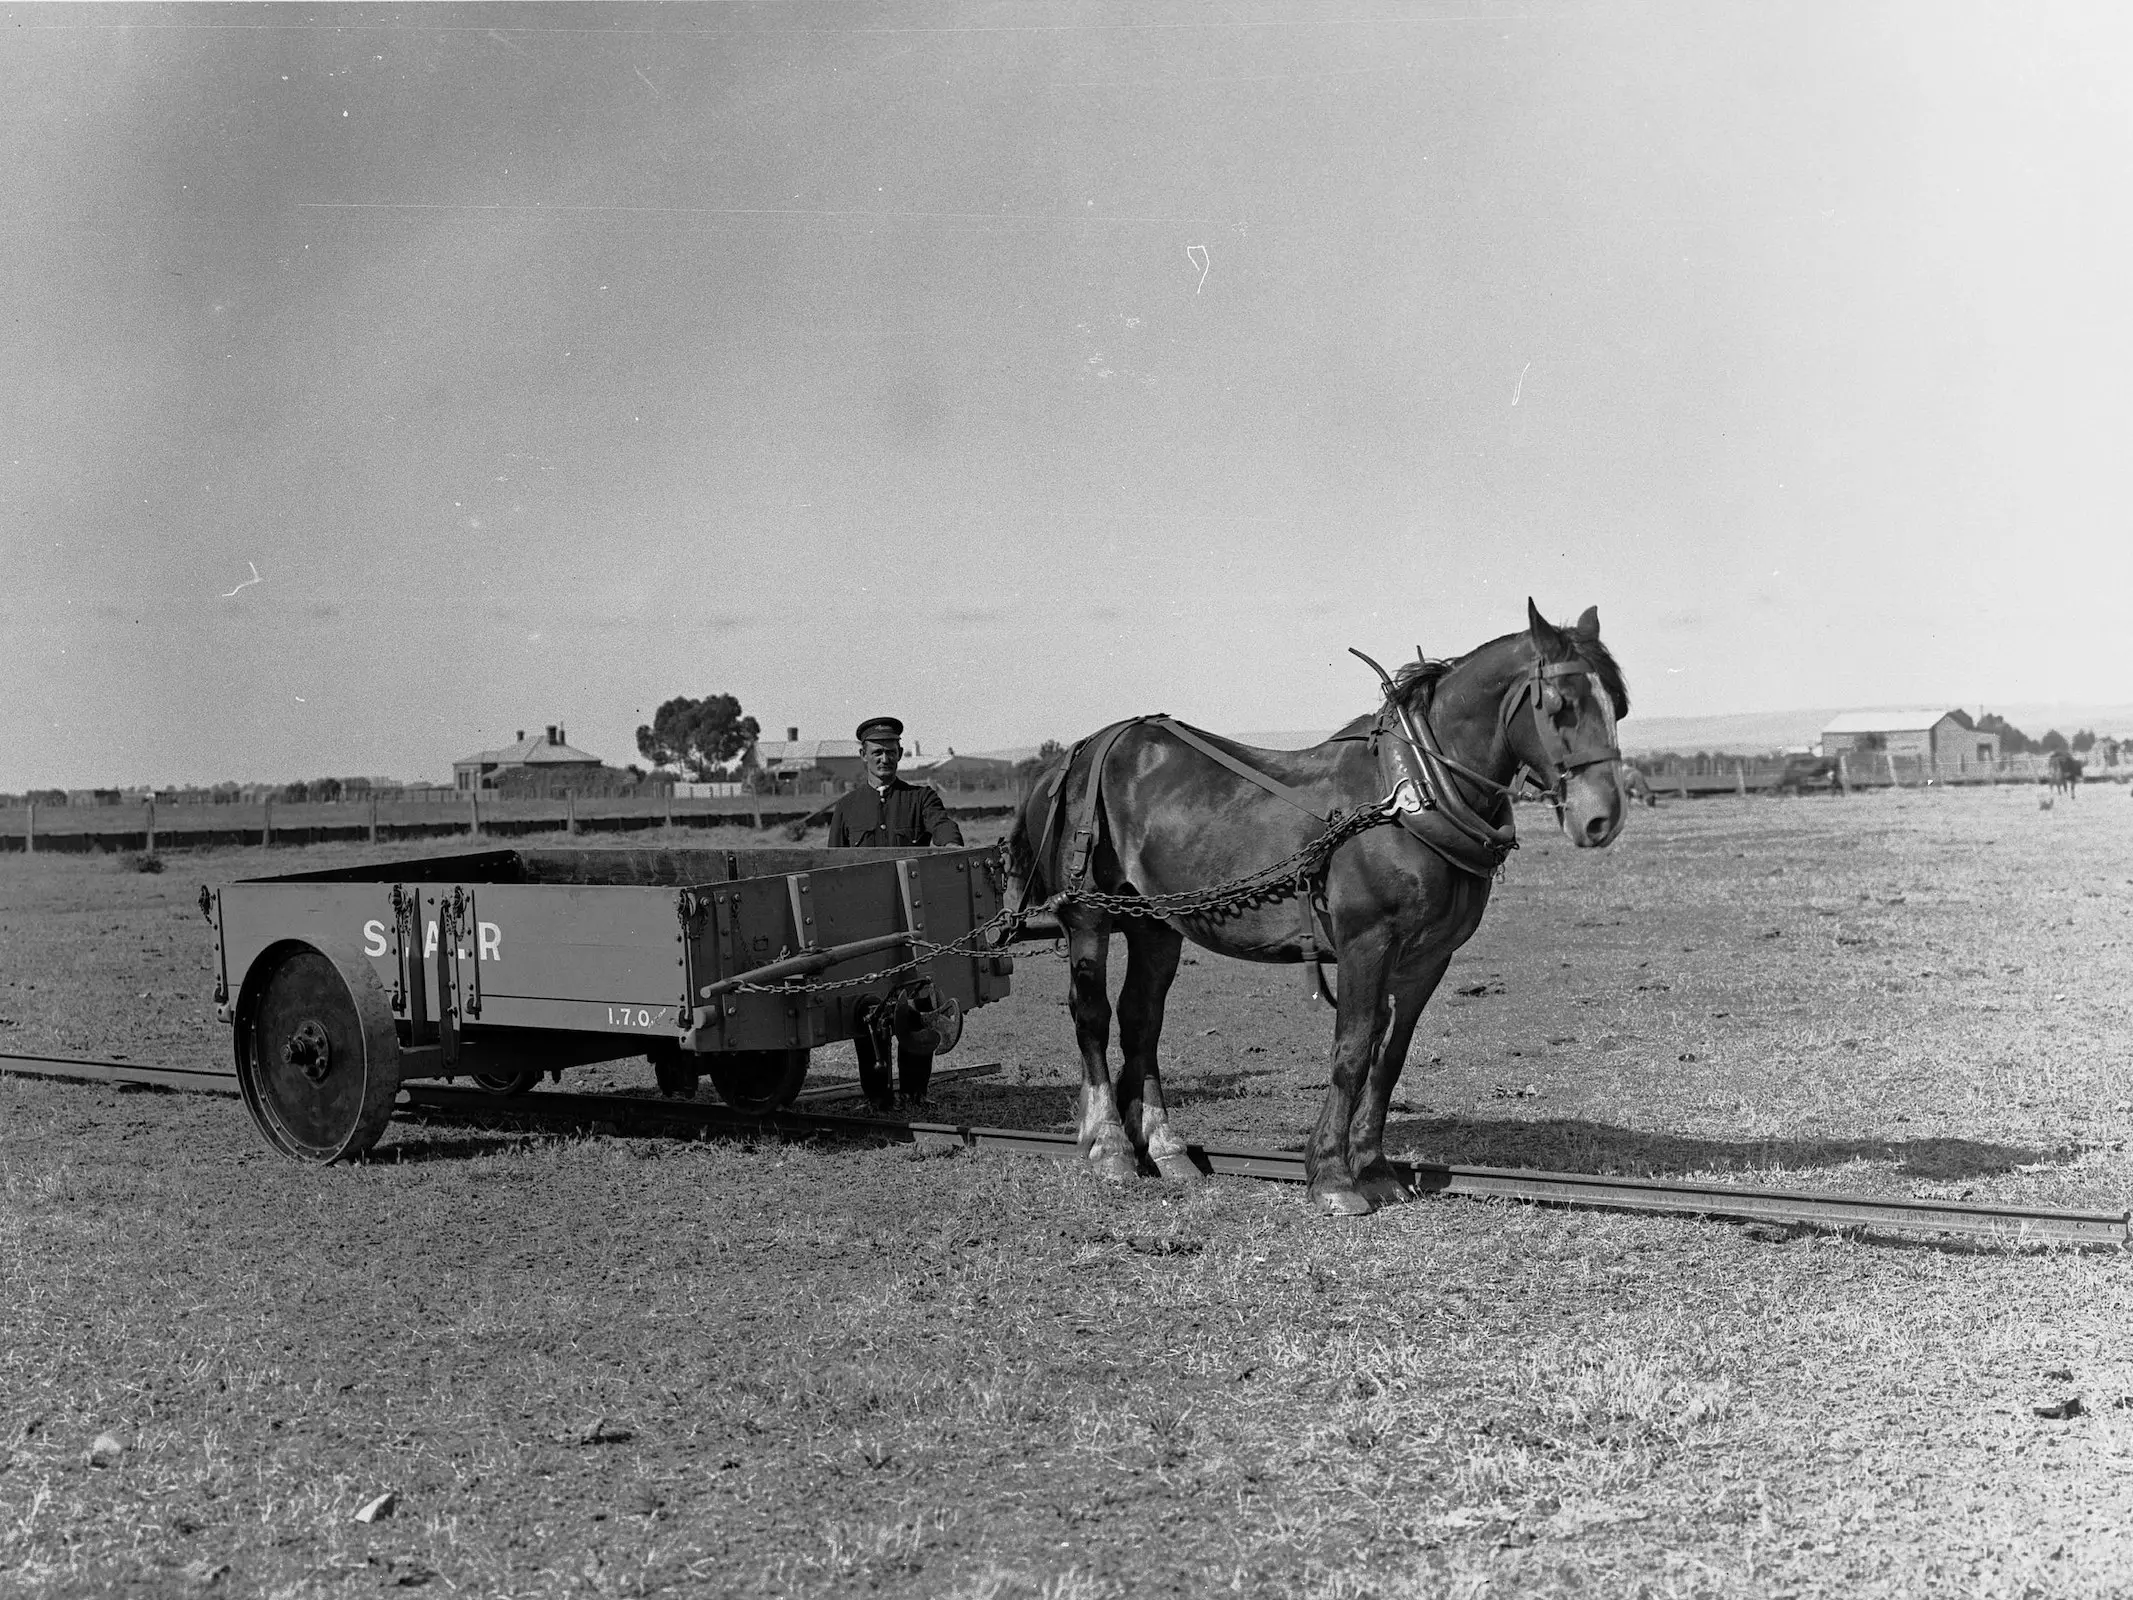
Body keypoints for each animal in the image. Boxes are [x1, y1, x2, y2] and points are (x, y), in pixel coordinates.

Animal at [1006, 601, 1621, 1211]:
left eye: (1620, 705)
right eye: (1561, 705)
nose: (1602, 818)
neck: (1413, 794)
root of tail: (1072, 757)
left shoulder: (1427, 958)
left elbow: (1389, 1057)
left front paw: (1374, 1168)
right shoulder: (1365, 942)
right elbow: (1351, 1051)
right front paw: (1332, 1175)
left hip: (1154, 925)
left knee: (1142, 1019)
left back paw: (1163, 1147)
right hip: (1088, 915)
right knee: (1092, 1014)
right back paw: (1109, 1145)